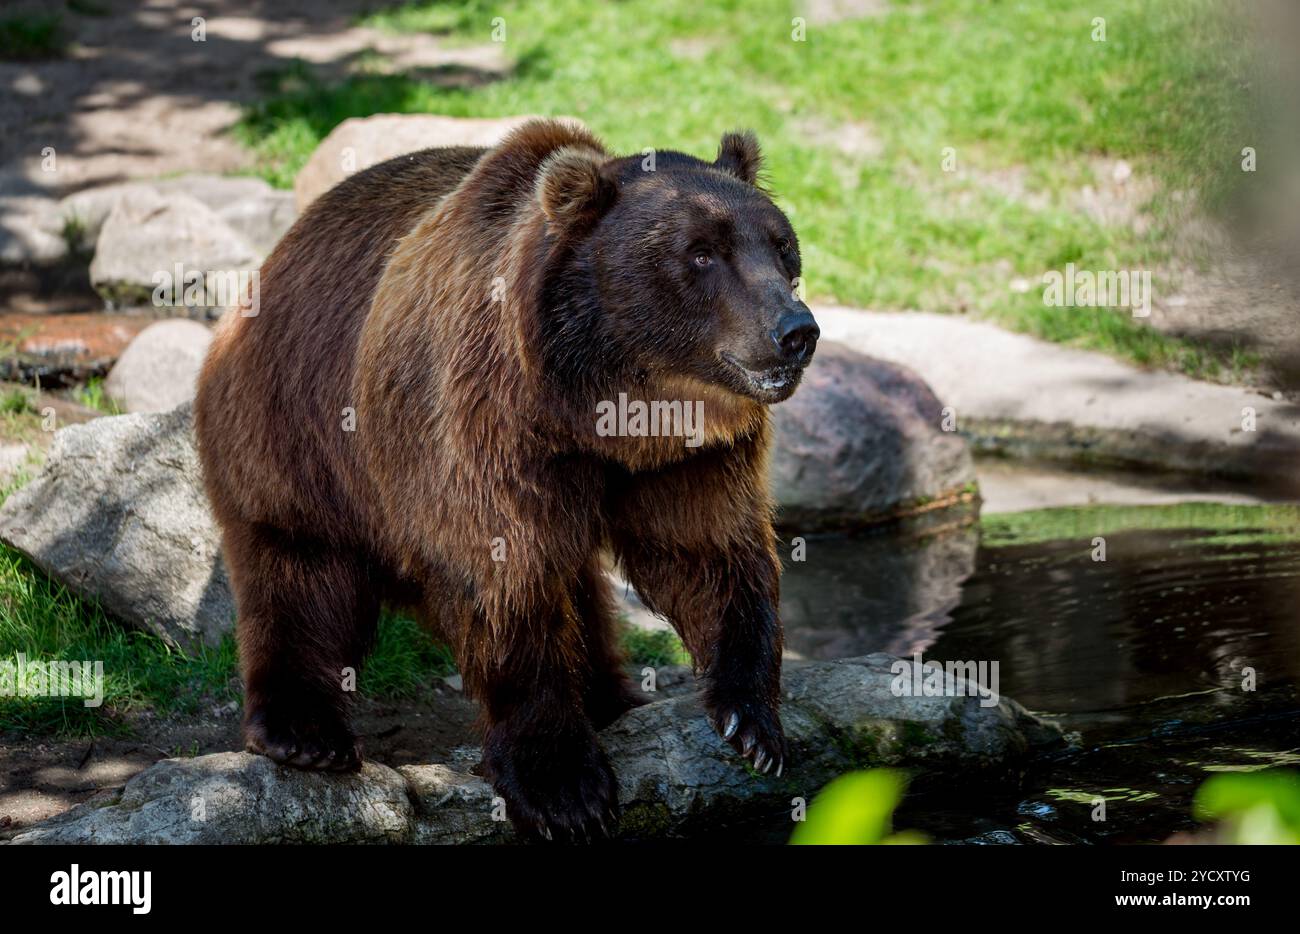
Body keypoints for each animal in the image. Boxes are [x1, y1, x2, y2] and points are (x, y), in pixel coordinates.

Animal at [194, 119, 819, 841]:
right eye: (700, 254)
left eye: (780, 244)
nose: (795, 330)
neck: (604, 411)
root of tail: (274, 256)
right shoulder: (483, 424)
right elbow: (505, 581)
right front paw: (563, 788)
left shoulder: (689, 454)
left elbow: (709, 552)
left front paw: (753, 723)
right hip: (295, 429)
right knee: (298, 573)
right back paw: (304, 734)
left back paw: (611, 698)